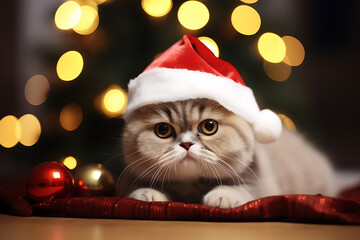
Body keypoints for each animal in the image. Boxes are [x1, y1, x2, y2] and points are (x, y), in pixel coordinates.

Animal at [117, 98, 334, 208]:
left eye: (209, 126)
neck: (191, 185)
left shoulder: (262, 184)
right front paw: (147, 193)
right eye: (163, 130)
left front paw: (222, 195)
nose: (186, 144)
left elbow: (242, 189)